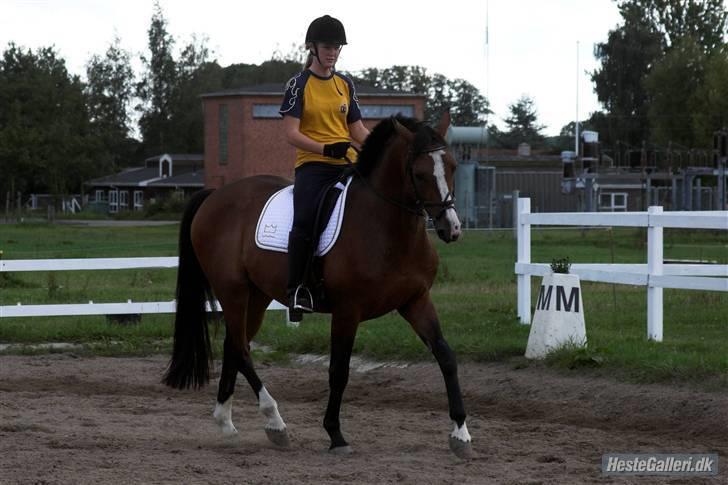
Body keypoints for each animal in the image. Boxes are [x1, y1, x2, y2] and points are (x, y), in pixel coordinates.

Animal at [163, 110, 472, 458]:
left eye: (452, 166)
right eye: (419, 174)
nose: (451, 228)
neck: (388, 229)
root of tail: (214, 196)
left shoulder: (416, 301)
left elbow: (446, 357)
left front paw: (460, 433)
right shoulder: (348, 311)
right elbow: (339, 371)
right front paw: (335, 434)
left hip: (256, 297)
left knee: (234, 345)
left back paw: (226, 423)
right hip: (233, 292)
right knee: (241, 349)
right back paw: (275, 422)